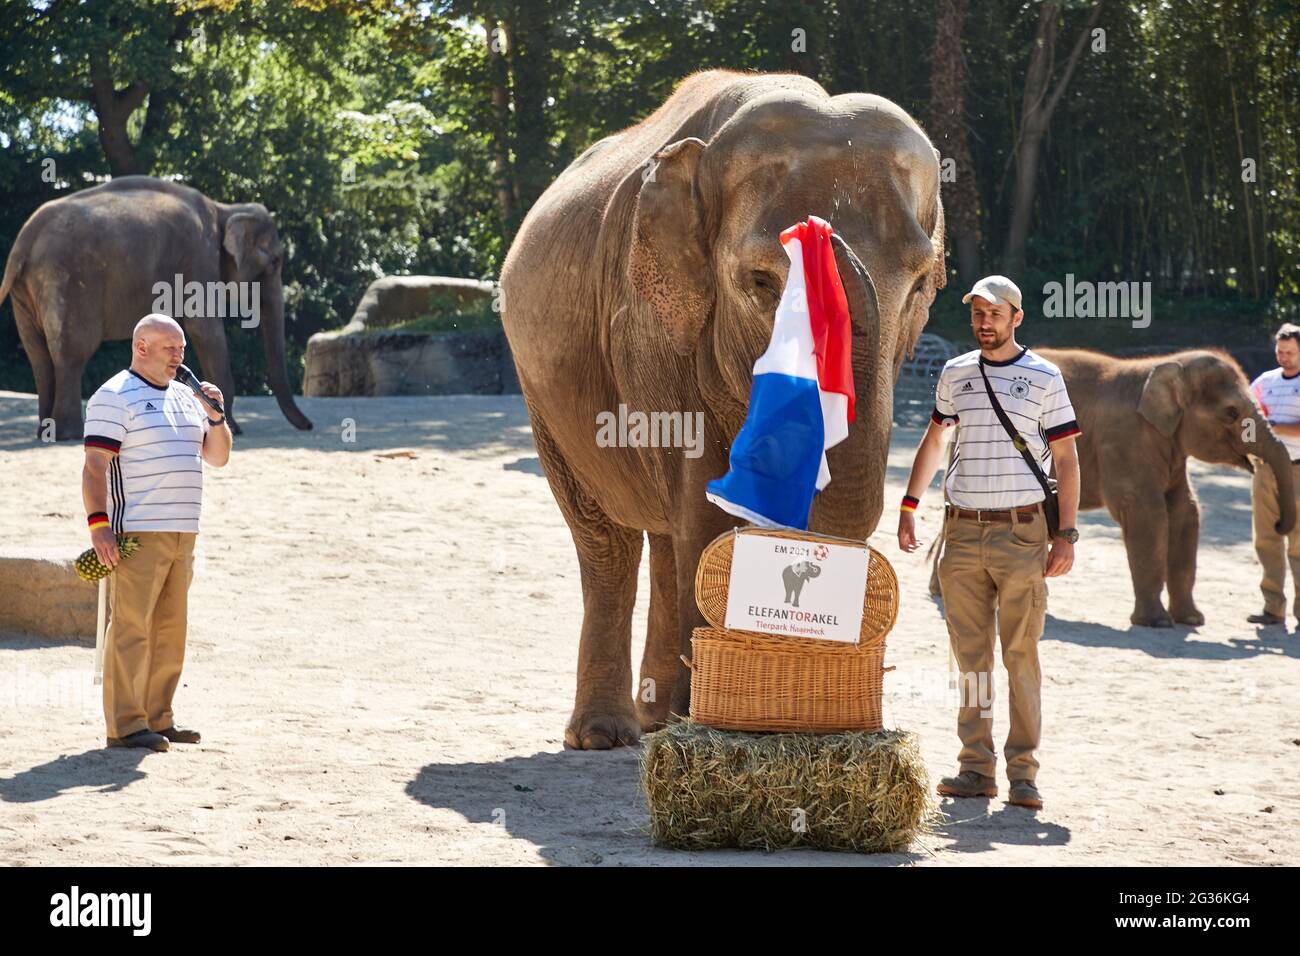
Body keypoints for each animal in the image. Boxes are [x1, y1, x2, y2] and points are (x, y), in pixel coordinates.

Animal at [0, 175, 314, 437]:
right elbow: (204, 328)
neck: (224, 209)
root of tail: (25, 237)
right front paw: (232, 427)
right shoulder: (199, 256)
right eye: (275, 261)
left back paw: (46, 432)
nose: (309, 426)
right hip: (68, 280)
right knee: (71, 353)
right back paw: (69, 435)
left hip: (27, 289)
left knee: (39, 356)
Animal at [499, 70, 946, 749]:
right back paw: (607, 734)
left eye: (920, 284)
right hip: (540, 392)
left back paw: (657, 718)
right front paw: (708, 714)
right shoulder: (653, 328)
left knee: (664, 538)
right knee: (607, 540)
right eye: (762, 282)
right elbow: (706, 505)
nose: (818, 230)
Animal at [1029, 348, 1294, 629]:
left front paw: (1191, 619)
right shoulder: (1125, 440)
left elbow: (1185, 512)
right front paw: (1157, 622)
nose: (1278, 524)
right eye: (1231, 412)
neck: (1164, 366)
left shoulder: (1172, 448)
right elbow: (1148, 514)